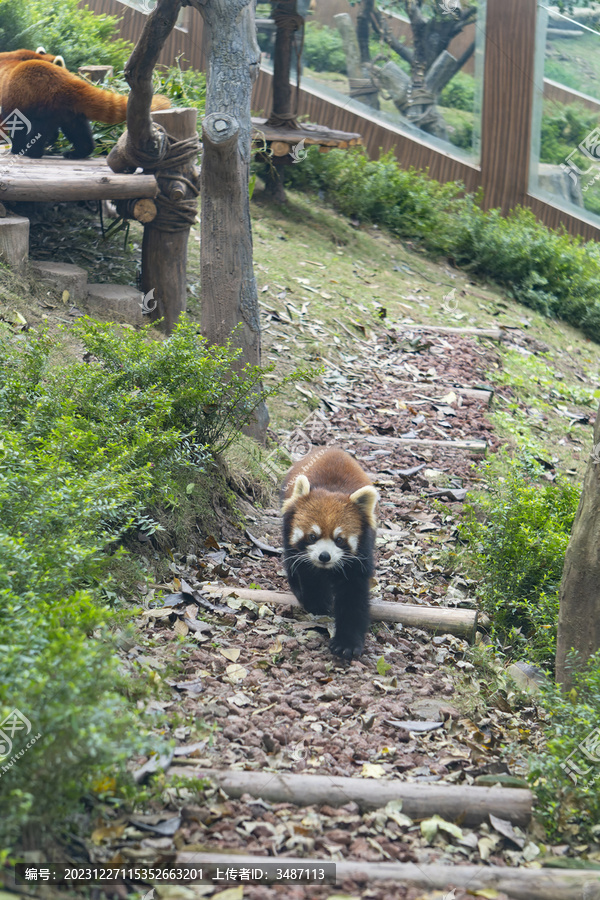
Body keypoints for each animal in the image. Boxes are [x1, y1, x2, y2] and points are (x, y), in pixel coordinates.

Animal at [0, 49, 170, 159]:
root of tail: (65, 80)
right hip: (66, 110)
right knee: (78, 130)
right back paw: (77, 152)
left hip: (37, 104)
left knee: (32, 128)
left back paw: (26, 151)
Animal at [282, 446, 380, 656]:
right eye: (312, 536)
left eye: (339, 539)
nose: (324, 556)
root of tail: (332, 449)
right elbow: (309, 576)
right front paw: (318, 604)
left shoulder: (361, 554)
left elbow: (353, 596)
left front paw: (347, 642)